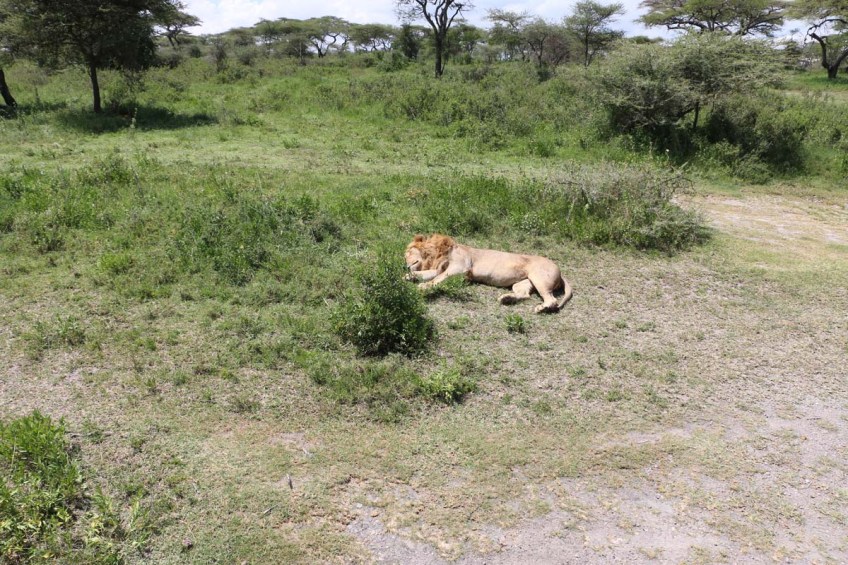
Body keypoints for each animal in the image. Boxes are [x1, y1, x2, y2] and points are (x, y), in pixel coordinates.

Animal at [405, 234, 573, 313]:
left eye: (407, 253)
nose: (404, 265)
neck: (437, 253)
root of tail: (559, 270)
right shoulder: (441, 268)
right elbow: (427, 273)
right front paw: (408, 277)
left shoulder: (460, 267)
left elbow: (437, 278)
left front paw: (423, 286)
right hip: (523, 282)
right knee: (525, 295)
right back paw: (506, 299)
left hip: (539, 278)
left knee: (552, 300)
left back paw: (541, 308)